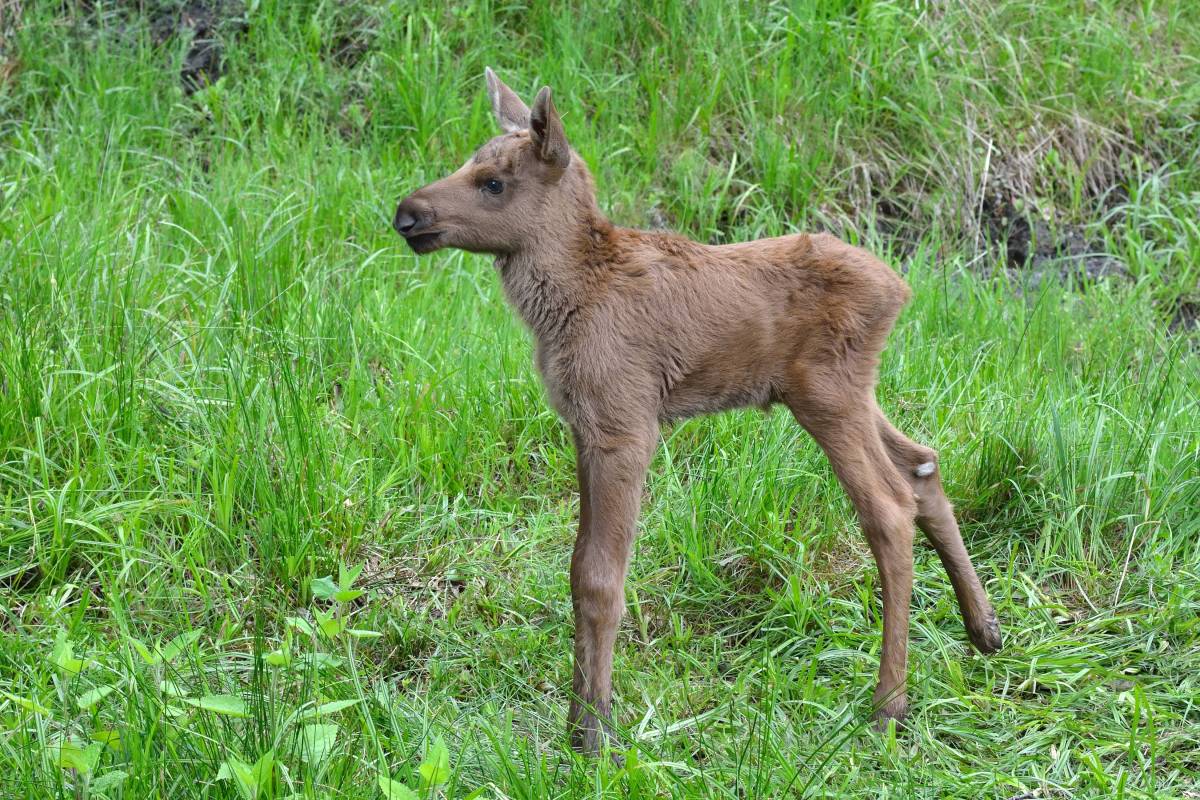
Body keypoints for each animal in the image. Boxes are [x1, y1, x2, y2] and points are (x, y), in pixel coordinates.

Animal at [393, 70, 1003, 758]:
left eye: (493, 182)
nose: (407, 214)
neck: (564, 303)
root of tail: (901, 289)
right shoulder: (582, 426)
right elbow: (576, 567)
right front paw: (579, 720)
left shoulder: (625, 422)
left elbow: (600, 579)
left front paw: (594, 732)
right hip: (849, 392)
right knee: (923, 463)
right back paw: (984, 629)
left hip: (827, 394)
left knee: (890, 506)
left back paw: (888, 707)